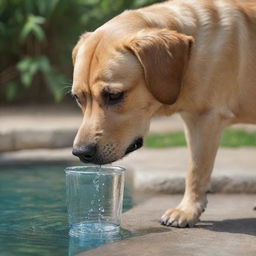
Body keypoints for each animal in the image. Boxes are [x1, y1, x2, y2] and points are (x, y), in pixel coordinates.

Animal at [71, 0, 256, 228]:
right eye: (78, 98)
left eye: (114, 95)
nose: (81, 152)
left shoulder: (204, 120)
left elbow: (196, 170)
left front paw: (187, 210)